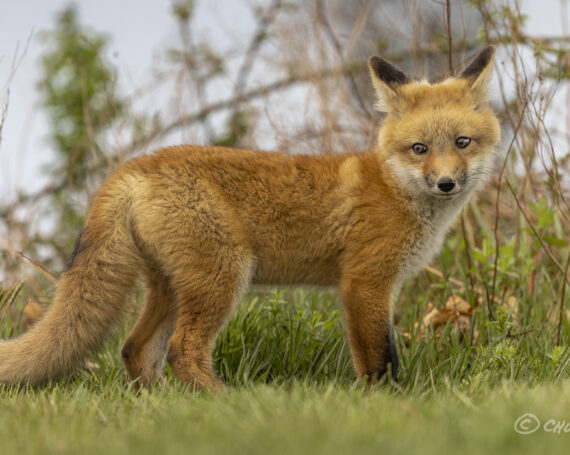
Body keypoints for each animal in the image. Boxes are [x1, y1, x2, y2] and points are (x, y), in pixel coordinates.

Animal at [0, 46, 496, 390]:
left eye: (463, 142)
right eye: (420, 149)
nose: (446, 183)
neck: (395, 188)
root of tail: (135, 165)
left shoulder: (371, 285)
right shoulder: (364, 282)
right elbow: (380, 359)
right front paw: (386, 401)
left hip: (172, 287)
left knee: (134, 349)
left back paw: (157, 403)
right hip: (223, 276)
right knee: (182, 351)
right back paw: (223, 401)